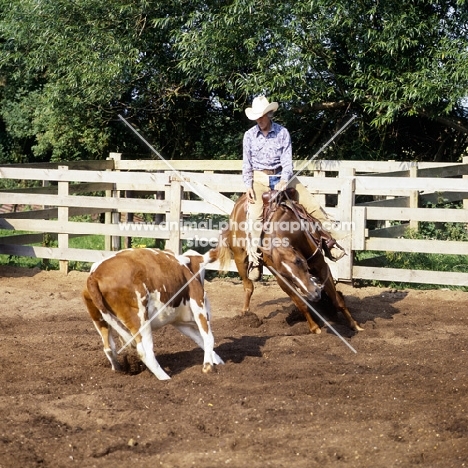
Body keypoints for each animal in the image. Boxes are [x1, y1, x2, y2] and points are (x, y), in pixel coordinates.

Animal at [82, 249, 223, 380]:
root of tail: (94, 275)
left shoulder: (179, 322)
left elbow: (198, 338)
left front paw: (218, 360)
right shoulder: (198, 305)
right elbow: (208, 337)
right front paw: (208, 366)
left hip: (99, 320)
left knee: (109, 348)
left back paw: (118, 369)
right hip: (141, 320)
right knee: (145, 352)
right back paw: (165, 378)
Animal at [218, 188, 364, 334]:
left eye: (298, 261)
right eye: (285, 273)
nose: (314, 295)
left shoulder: (321, 266)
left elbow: (337, 300)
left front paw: (355, 325)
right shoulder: (282, 279)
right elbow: (301, 304)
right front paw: (315, 328)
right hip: (239, 257)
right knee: (248, 286)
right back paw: (245, 313)